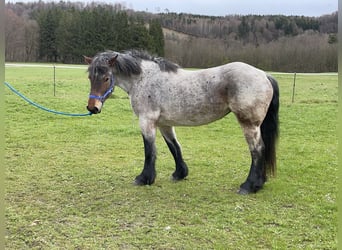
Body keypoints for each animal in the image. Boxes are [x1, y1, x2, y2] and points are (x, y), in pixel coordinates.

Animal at [83, 49, 278, 193]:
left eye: (106, 78)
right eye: (90, 77)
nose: (93, 108)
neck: (144, 79)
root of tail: (264, 75)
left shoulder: (147, 121)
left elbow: (149, 150)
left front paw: (144, 178)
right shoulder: (164, 124)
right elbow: (174, 147)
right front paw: (180, 174)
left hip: (249, 124)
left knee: (257, 150)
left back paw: (249, 186)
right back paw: (259, 183)